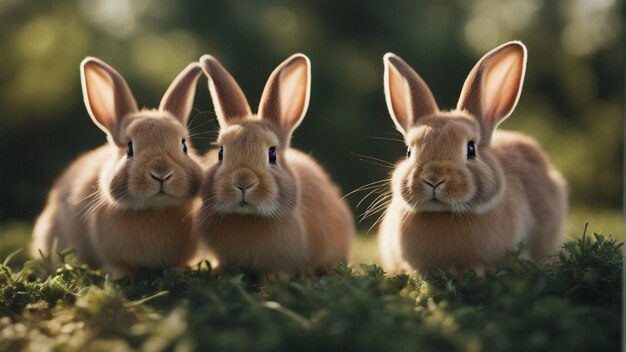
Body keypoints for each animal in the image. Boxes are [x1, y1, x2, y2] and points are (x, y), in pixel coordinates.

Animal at [31, 57, 204, 278]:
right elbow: (117, 266)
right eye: (129, 148)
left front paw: (178, 273)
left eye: (184, 146)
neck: (154, 209)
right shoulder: (111, 256)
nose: (161, 173)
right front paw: (119, 277)